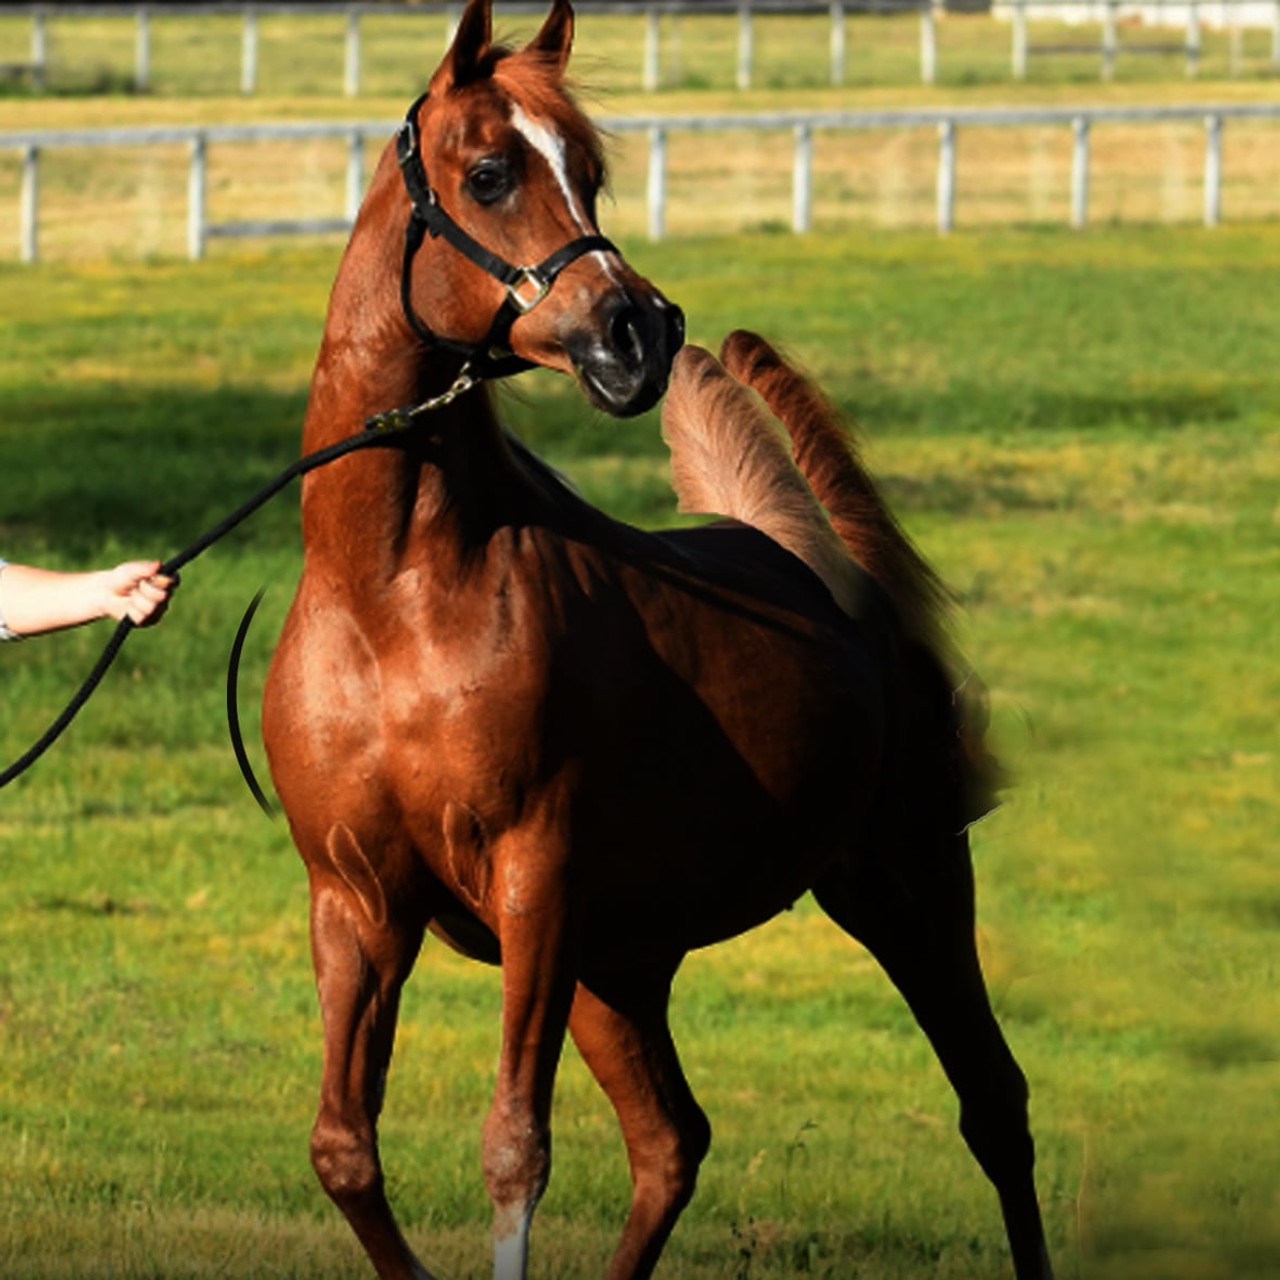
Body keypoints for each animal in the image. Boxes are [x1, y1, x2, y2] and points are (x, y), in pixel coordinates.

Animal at [259, 2, 1049, 1280]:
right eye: (489, 172)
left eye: (589, 173)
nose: (639, 331)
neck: (394, 600)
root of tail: (822, 565)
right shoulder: (356, 900)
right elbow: (344, 1147)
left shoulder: (534, 881)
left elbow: (513, 1150)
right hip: (619, 966)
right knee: (672, 1141)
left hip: (907, 883)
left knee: (994, 1106)